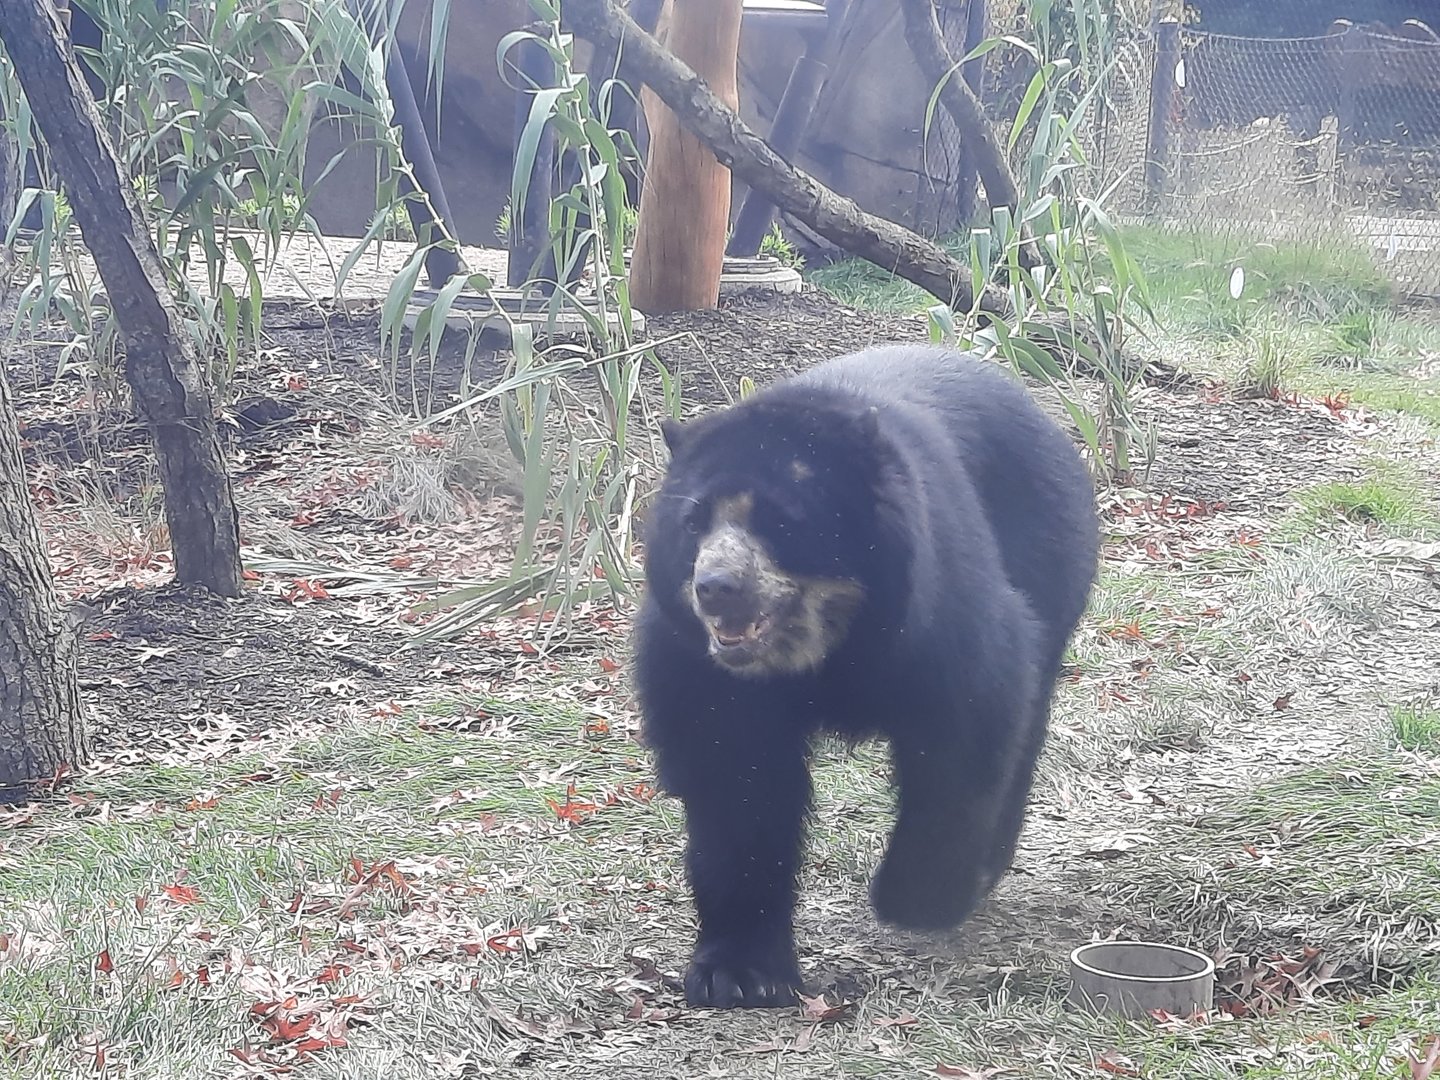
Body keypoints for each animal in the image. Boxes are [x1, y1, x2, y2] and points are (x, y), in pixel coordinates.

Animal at [632, 342, 1100, 1010]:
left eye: (781, 520)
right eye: (694, 524)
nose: (715, 588)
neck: (821, 645)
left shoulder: (938, 613)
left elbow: (964, 735)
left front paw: (917, 898)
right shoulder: (702, 671)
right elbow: (735, 785)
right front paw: (740, 973)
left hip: (1050, 561)